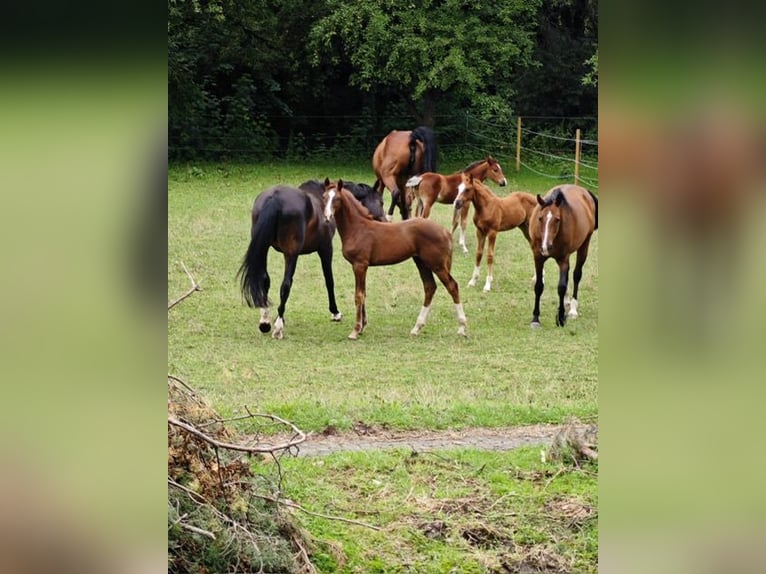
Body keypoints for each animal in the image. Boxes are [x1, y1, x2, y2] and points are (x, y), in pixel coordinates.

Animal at [238, 182, 384, 340]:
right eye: (381, 202)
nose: (384, 220)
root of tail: (275, 197)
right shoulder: (325, 248)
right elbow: (329, 281)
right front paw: (335, 312)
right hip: (291, 253)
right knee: (286, 285)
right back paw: (278, 327)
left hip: (264, 247)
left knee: (264, 279)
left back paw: (265, 321)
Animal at [322, 179, 468, 342]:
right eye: (324, 197)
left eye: (337, 198)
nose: (327, 217)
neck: (358, 228)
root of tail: (445, 231)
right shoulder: (362, 267)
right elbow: (363, 294)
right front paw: (362, 327)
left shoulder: (359, 265)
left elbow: (358, 296)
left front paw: (355, 330)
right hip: (421, 262)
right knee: (430, 287)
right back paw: (417, 328)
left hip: (437, 265)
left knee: (452, 286)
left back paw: (461, 328)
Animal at [536, 186, 600, 328]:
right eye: (540, 218)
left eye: (557, 219)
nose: (545, 247)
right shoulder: (541, 258)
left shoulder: (563, 259)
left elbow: (562, 286)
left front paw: (561, 317)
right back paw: (566, 301)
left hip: (584, 246)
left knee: (576, 275)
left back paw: (573, 309)